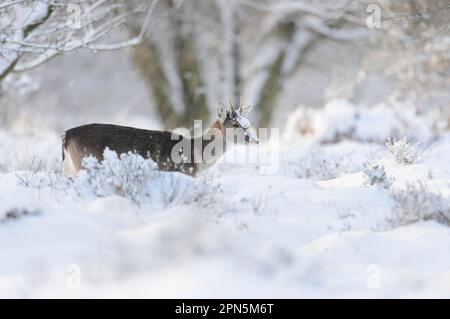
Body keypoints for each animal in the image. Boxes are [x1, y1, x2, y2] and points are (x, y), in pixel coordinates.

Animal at [63, 97, 260, 178]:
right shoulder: (184, 171)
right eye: (235, 125)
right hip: (85, 162)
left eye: (248, 122)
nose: (256, 140)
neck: (198, 156)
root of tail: (67, 135)